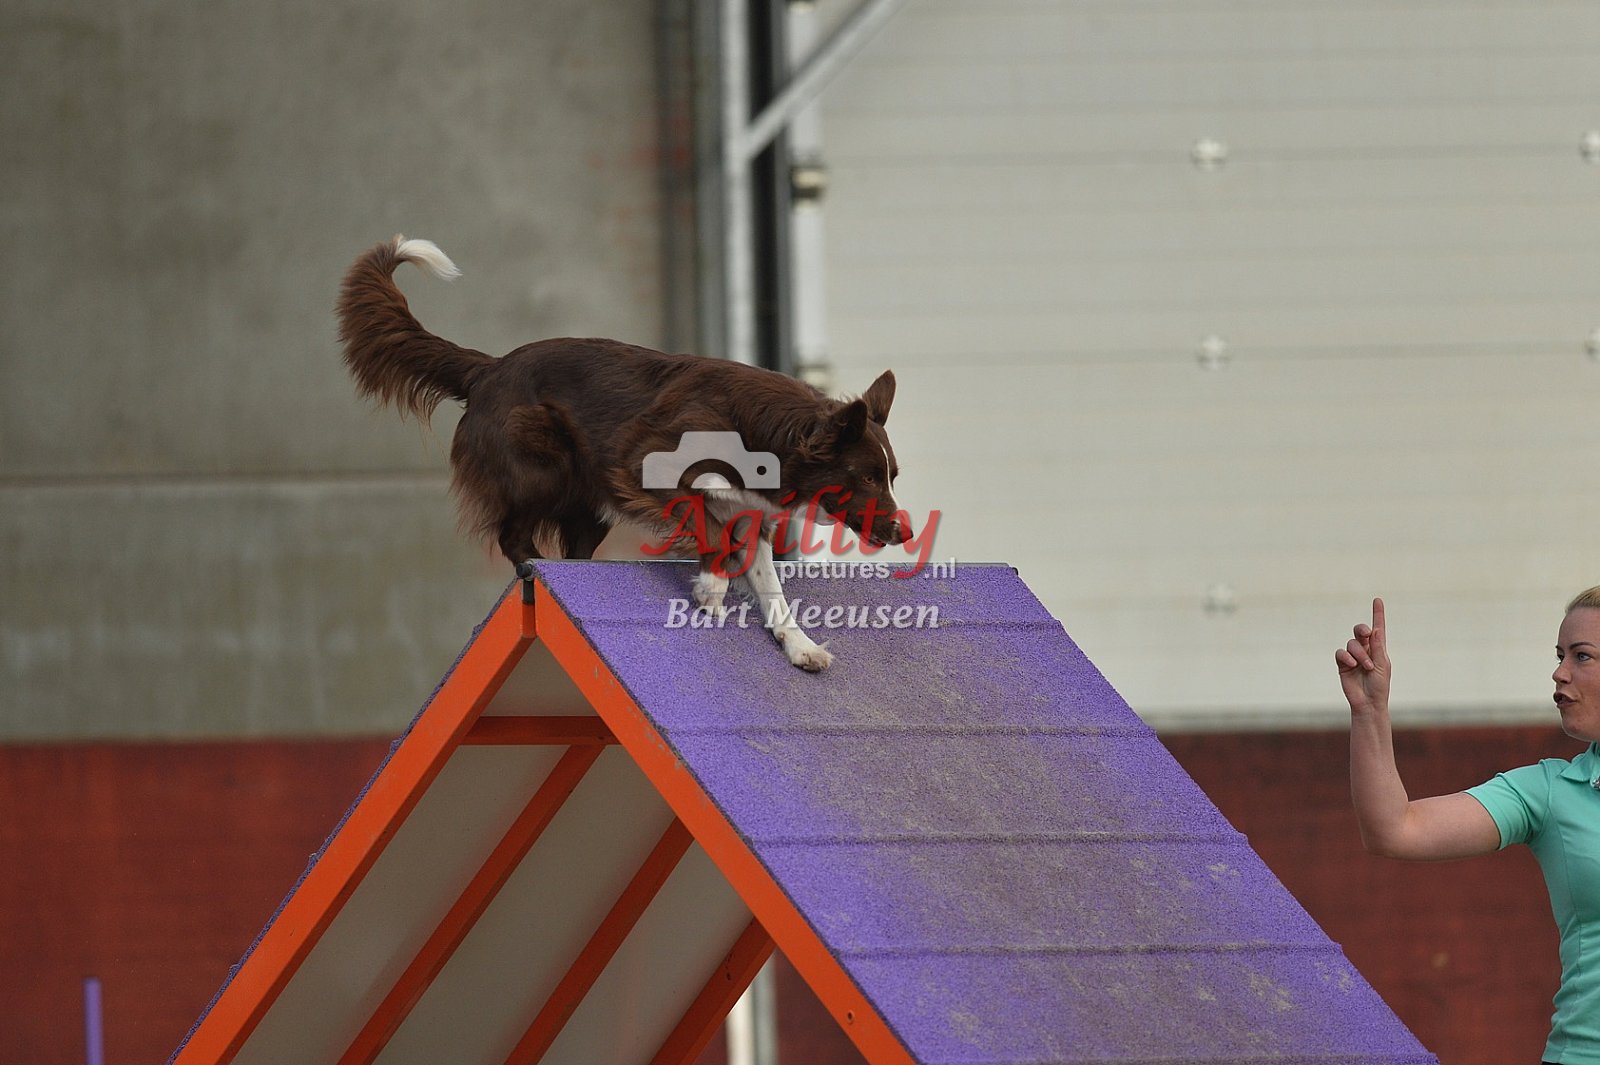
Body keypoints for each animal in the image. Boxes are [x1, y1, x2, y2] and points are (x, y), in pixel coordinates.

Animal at [336, 235, 912, 671]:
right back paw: (537, 576)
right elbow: (703, 510)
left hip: (589, 510)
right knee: (512, 536)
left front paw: (800, 646)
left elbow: (771, 589)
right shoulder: (638, 460)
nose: (903, 532)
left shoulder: (753, 514)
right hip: (544, 463)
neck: (766, 432)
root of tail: (488, 367)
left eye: (892, 475)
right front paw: (711, 586)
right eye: (865, 477)